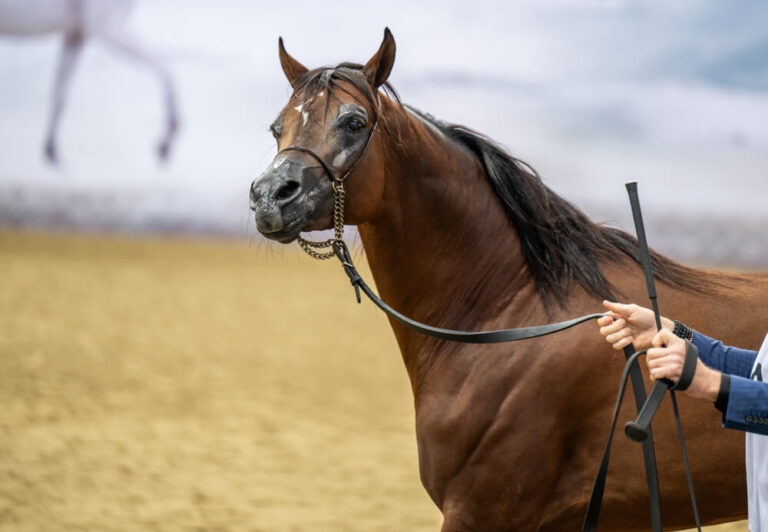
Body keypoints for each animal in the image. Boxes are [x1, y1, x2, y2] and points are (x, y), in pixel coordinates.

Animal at [0, 0, 178, 164]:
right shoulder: (107, 26)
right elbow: (165, 70)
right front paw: (167, 139)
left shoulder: (76, 36)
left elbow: (60, 94)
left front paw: (51, 150)